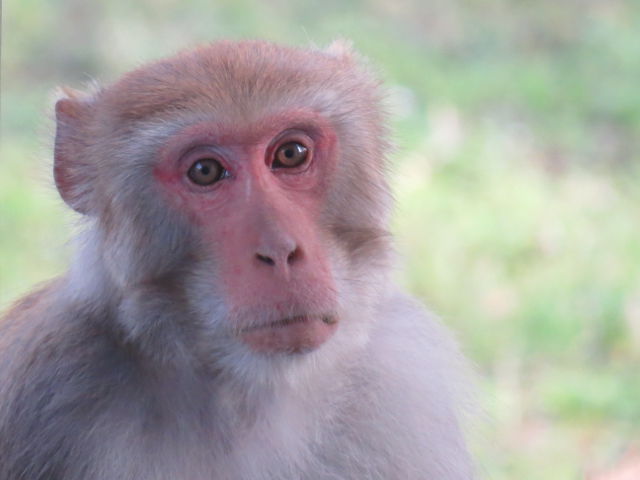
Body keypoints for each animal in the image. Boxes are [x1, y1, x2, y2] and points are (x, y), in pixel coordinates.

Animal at [0, 40, 476, 479]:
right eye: (205, 171)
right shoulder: (49, 374)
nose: (280, 251)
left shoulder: (401, 373)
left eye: (291, 154)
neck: (251, 394)